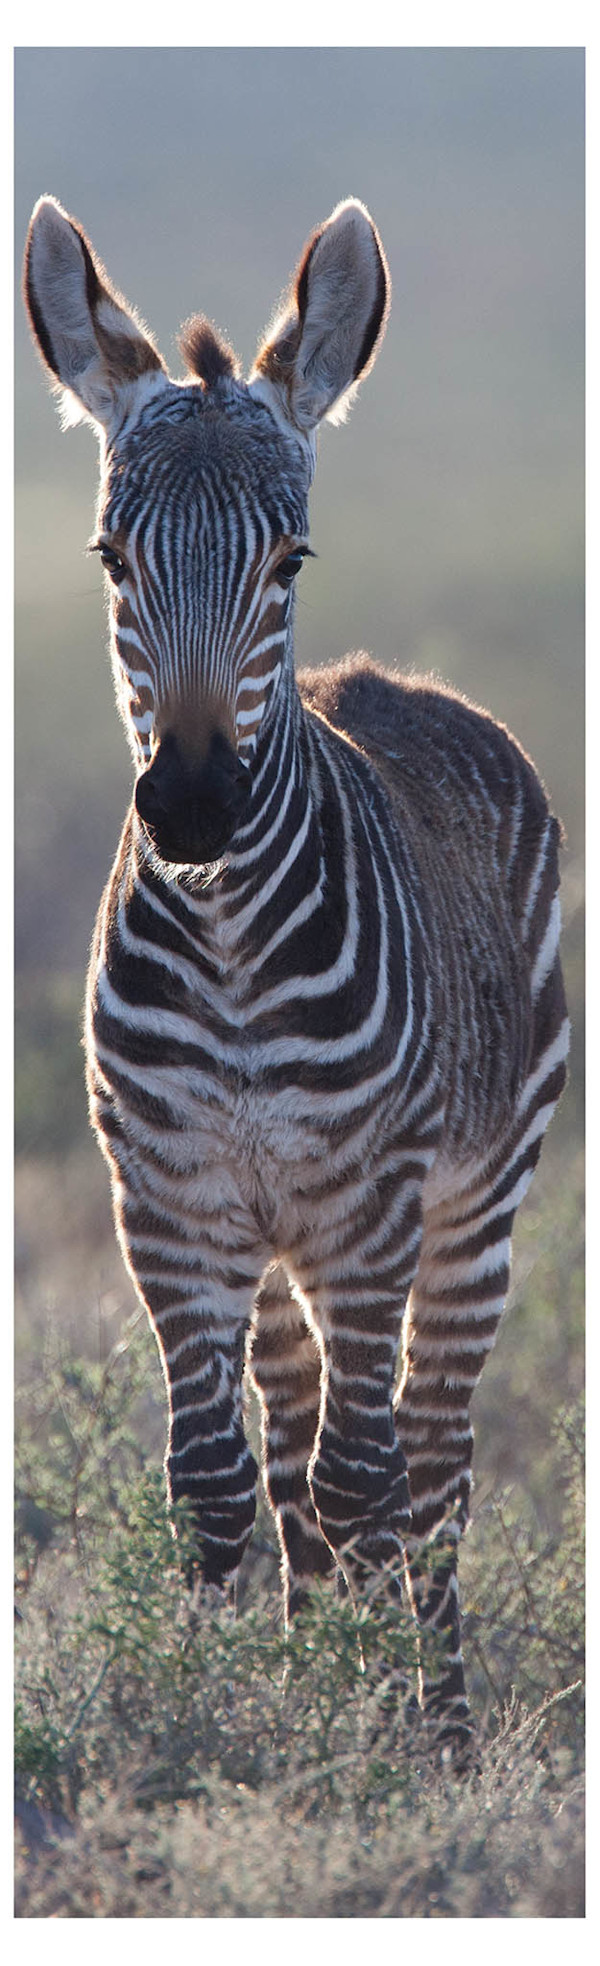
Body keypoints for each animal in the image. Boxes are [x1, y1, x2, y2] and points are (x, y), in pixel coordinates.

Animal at [24, 193, 569, 1754]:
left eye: (290, 564)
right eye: (111, 558)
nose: (196, 807)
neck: (227, 953)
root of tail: (389, 677)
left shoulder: (368, 1208)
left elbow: (368, 1482)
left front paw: (369, 1739)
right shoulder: (170, 1203)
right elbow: (217, 1491)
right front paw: (223, 1718)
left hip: (471, 1209)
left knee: (428, 1467)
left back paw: (439, 1723)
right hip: (274, 1251)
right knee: (296, 1465)